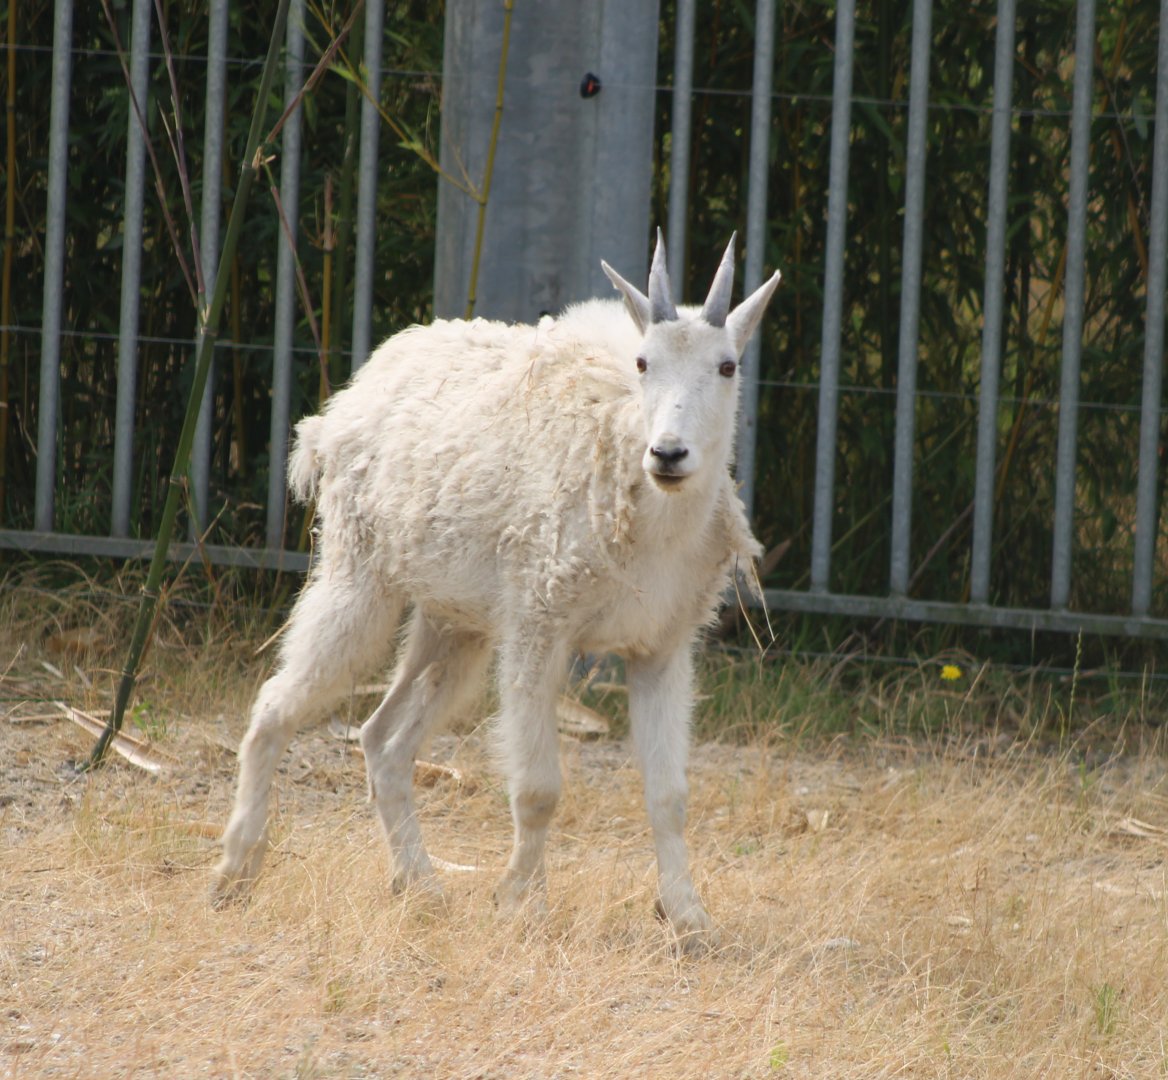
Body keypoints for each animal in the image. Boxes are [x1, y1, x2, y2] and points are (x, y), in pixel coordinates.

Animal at [212, 231, 781, 945]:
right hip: (360, 577)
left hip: (454, 623)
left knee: (383, 739)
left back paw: (420, 884)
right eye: (644, 362)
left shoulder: (660, 650)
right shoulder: (541, 626)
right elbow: (538, 788)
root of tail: (345, 405)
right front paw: (518, 903)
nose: (669, 454)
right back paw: (235, 872)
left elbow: (669, 795)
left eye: (728, 366)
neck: (652, 518)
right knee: (275, 705)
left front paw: (689, 918)